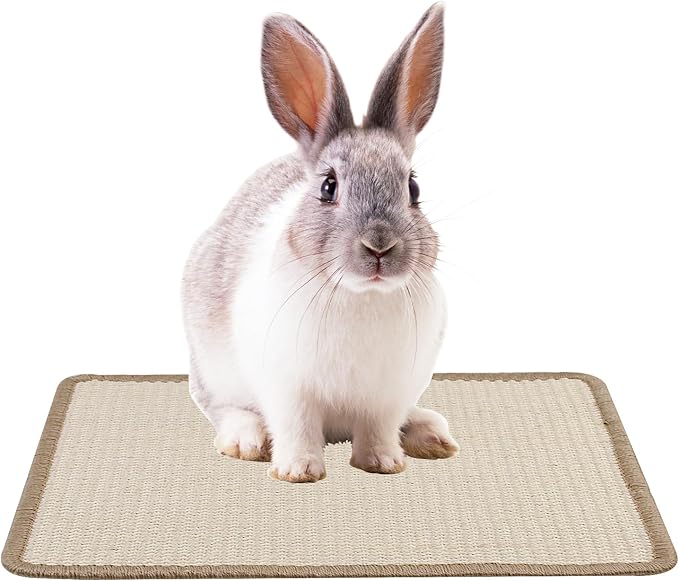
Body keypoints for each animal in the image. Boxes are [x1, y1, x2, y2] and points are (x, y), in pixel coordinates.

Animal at [181, 2, 459, 483]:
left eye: (413, 188)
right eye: (329, 187)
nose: (379, 246)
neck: (361, 295)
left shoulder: (387, 394)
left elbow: (379, 429)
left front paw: (383, 463)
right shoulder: (287, 388)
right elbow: (296, 427)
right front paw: (298, 471)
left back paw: (430, 434)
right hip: (213, 370)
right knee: (223, 408)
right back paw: (245, 439)